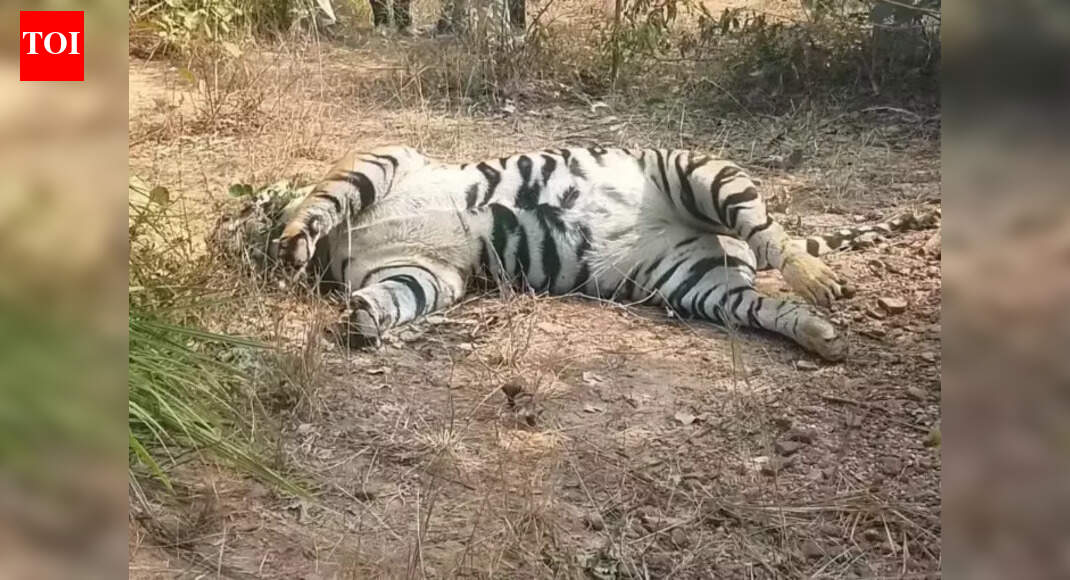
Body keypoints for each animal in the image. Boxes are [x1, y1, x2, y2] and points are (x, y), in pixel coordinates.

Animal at [218, 145, 939, 362]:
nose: (218, 228)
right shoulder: (422, 272)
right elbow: (397, 297)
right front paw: (363, 318)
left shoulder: (385, 158)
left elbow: (328, 197)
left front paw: (295, 237)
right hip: (699, 284)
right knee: (763, 305)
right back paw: (823, 335)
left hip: (696, 171)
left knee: (772, 232)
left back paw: (818, 279)